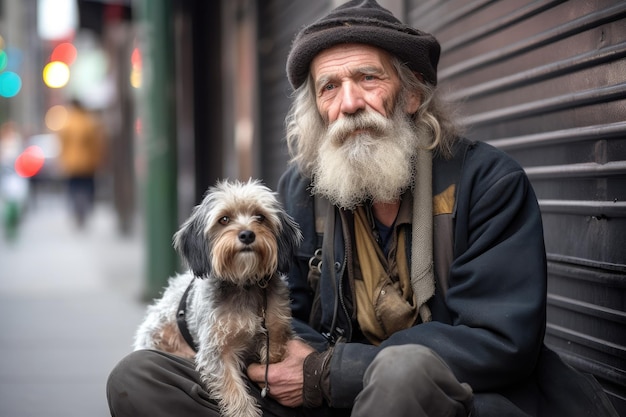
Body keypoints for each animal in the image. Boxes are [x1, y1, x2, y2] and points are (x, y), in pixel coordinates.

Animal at [134, 179, 302, 416]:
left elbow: (275, 351)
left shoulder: (275, 332)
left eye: (260, 217)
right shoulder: (216, 352)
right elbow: (235, 393)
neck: (244, 284)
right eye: (224, 219)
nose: (247, 235)